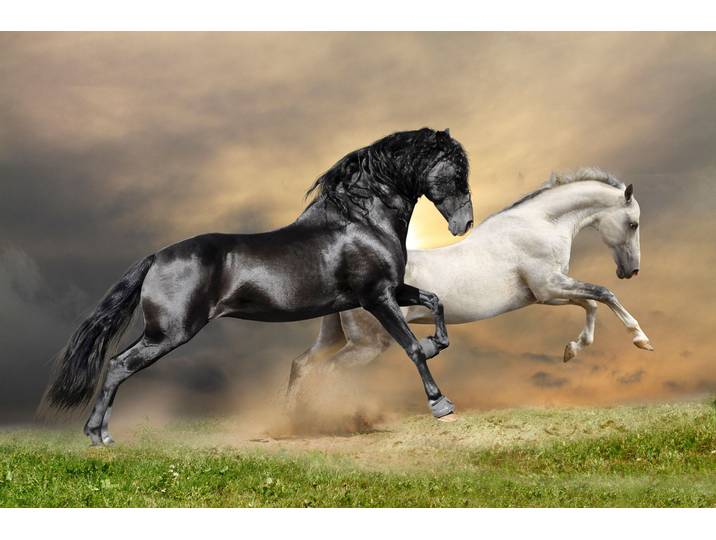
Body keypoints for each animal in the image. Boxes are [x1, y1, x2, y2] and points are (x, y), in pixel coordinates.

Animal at [42, 128, 474, 445]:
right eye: (456, 171)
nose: (464, 224)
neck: (361, 222)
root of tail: (157, 256)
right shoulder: (376, 297)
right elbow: (412, 348)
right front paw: (441, 404)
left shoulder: (392, 289)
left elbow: (434, 301)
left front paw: (438, 344)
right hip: (169, 332)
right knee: (119, 365)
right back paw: (99, 435)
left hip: (162, 332)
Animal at [287, 167, 653, 417]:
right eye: (633, 223)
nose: (631, 271)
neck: (541, 225)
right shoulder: (548, 287)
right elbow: (603, 294)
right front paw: (641, 340)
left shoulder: (549, 291)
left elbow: (591, 304)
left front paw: (572, 350)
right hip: (368, 344)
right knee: (329, 372)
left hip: (336, 336)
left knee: (302, 364)